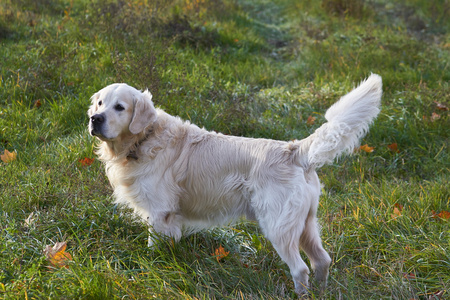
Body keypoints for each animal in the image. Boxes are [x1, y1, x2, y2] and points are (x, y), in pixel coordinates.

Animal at [89, 74, 384, 294]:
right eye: (100, 103)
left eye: (120, 107)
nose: (95, 118)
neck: (143, 139)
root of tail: (294, 150)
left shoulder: (161, 212)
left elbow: (155, 247)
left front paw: (153, 266)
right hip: (306, 224)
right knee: (322, 260)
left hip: (278, 226)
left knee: (300, 269)